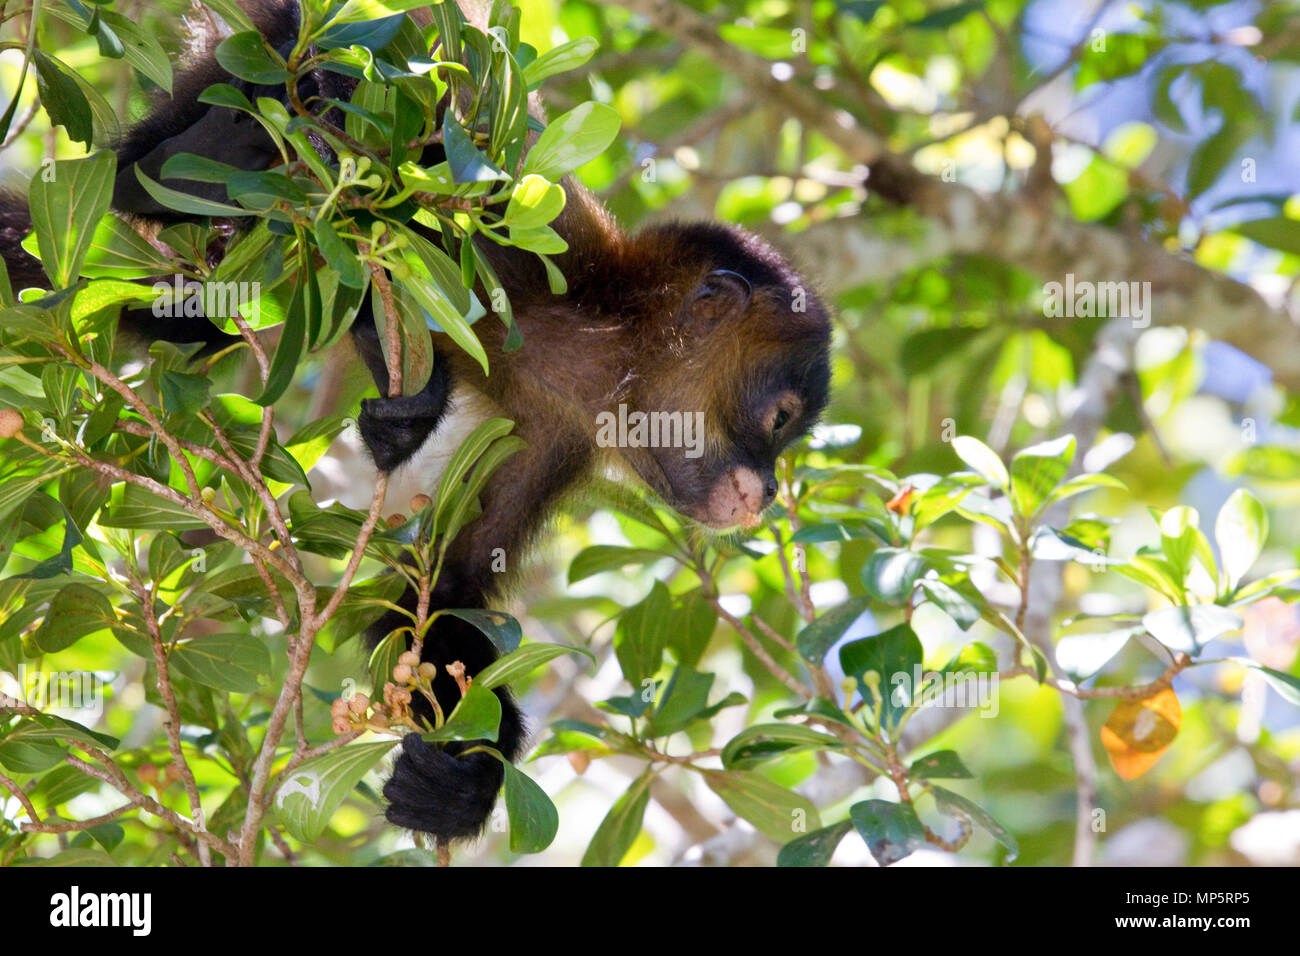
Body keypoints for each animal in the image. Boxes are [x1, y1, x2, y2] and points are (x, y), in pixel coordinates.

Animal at [0, 3, 832, 848]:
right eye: (780, 419)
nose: (767, 490)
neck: (597, 355)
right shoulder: (523, 228)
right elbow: (403, 165)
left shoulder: (553, 432)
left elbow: (447, 591)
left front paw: (463, 783)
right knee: (179, 173)